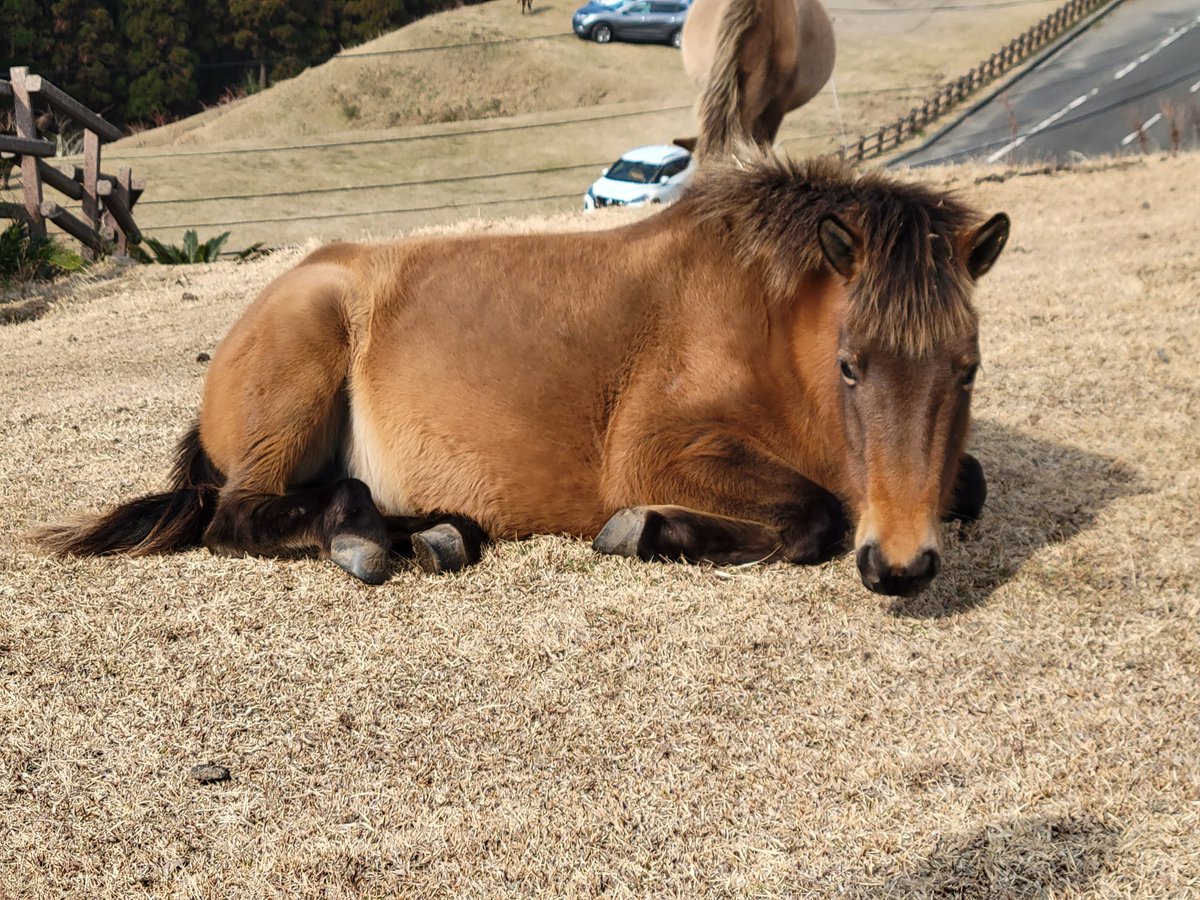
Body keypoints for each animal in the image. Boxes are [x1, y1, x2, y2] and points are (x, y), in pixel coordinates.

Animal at [33, 151, 1010, 597]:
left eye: (967, 370)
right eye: (850, 366)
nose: (901, 568)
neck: (756, 325)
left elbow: (968, 483)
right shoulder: (657, 452)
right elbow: (813, 516)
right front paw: (645, 530)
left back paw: (432, 533)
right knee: (240, 516)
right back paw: (362, 538)